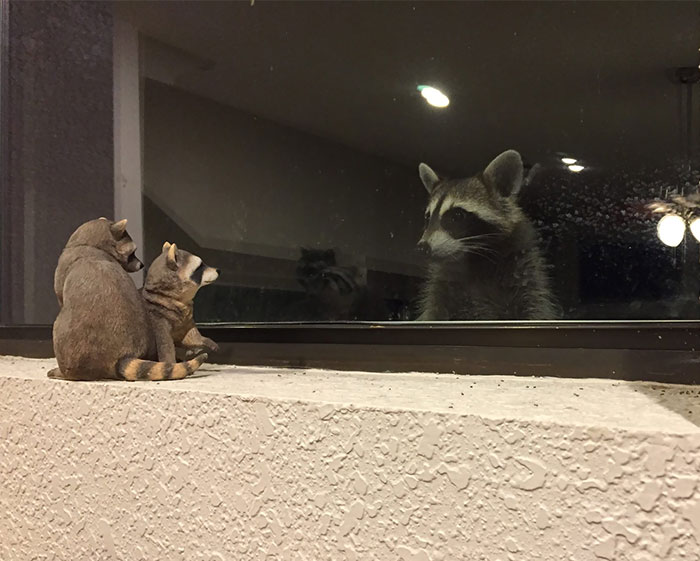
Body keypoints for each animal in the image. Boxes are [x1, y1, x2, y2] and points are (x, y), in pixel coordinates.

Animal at [50, 218, 207, 381]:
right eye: (132, 253)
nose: (142, 264)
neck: (89, 245)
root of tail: (122, 356)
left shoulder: (62, 271)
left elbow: (61, 297)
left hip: (72, 343)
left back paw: (62, 372)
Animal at [416, 150, 557, 320]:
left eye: (457, 216)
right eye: (427, 218)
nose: (423, 248)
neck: (474, 258)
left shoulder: (525, 271)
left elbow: (534, 308)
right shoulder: (442, 286)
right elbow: (435, 311)